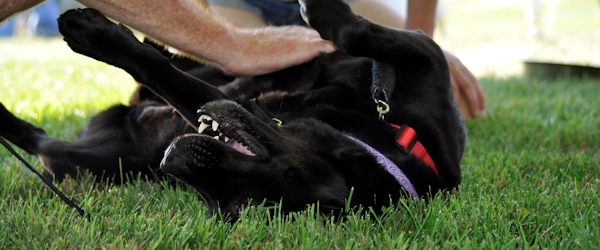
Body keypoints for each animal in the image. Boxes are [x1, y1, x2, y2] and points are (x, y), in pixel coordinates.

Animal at [0, 0, 466, 219]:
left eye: (233, 207)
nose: (174, 162)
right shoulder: (427, 57)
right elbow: (351, 32)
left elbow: (168, 80)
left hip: (84, 160)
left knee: (36, 139)